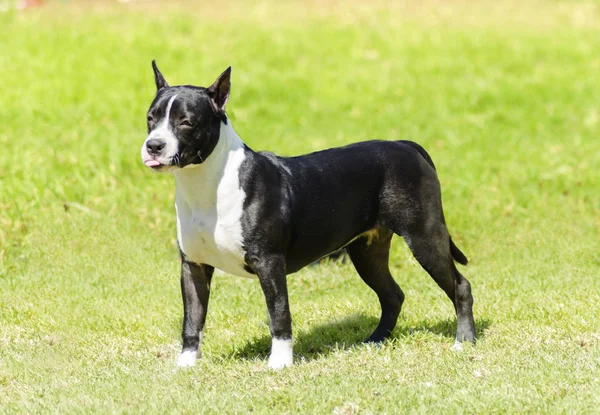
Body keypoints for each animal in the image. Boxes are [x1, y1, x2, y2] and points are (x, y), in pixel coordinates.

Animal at [139, 60, 474, 368]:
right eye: (151, 118)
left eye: (187, 122)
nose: (154, 145)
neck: (207, 183)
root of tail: (405, 145)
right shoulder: (193, 266)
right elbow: (192, 319)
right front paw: (185, 365)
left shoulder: (269, 263)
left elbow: (279, 314)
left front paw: (279, 364)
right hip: (367, 251)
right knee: (392, 295)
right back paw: (376, 340)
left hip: (424, 237)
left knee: (460, 285)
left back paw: (464, 341)